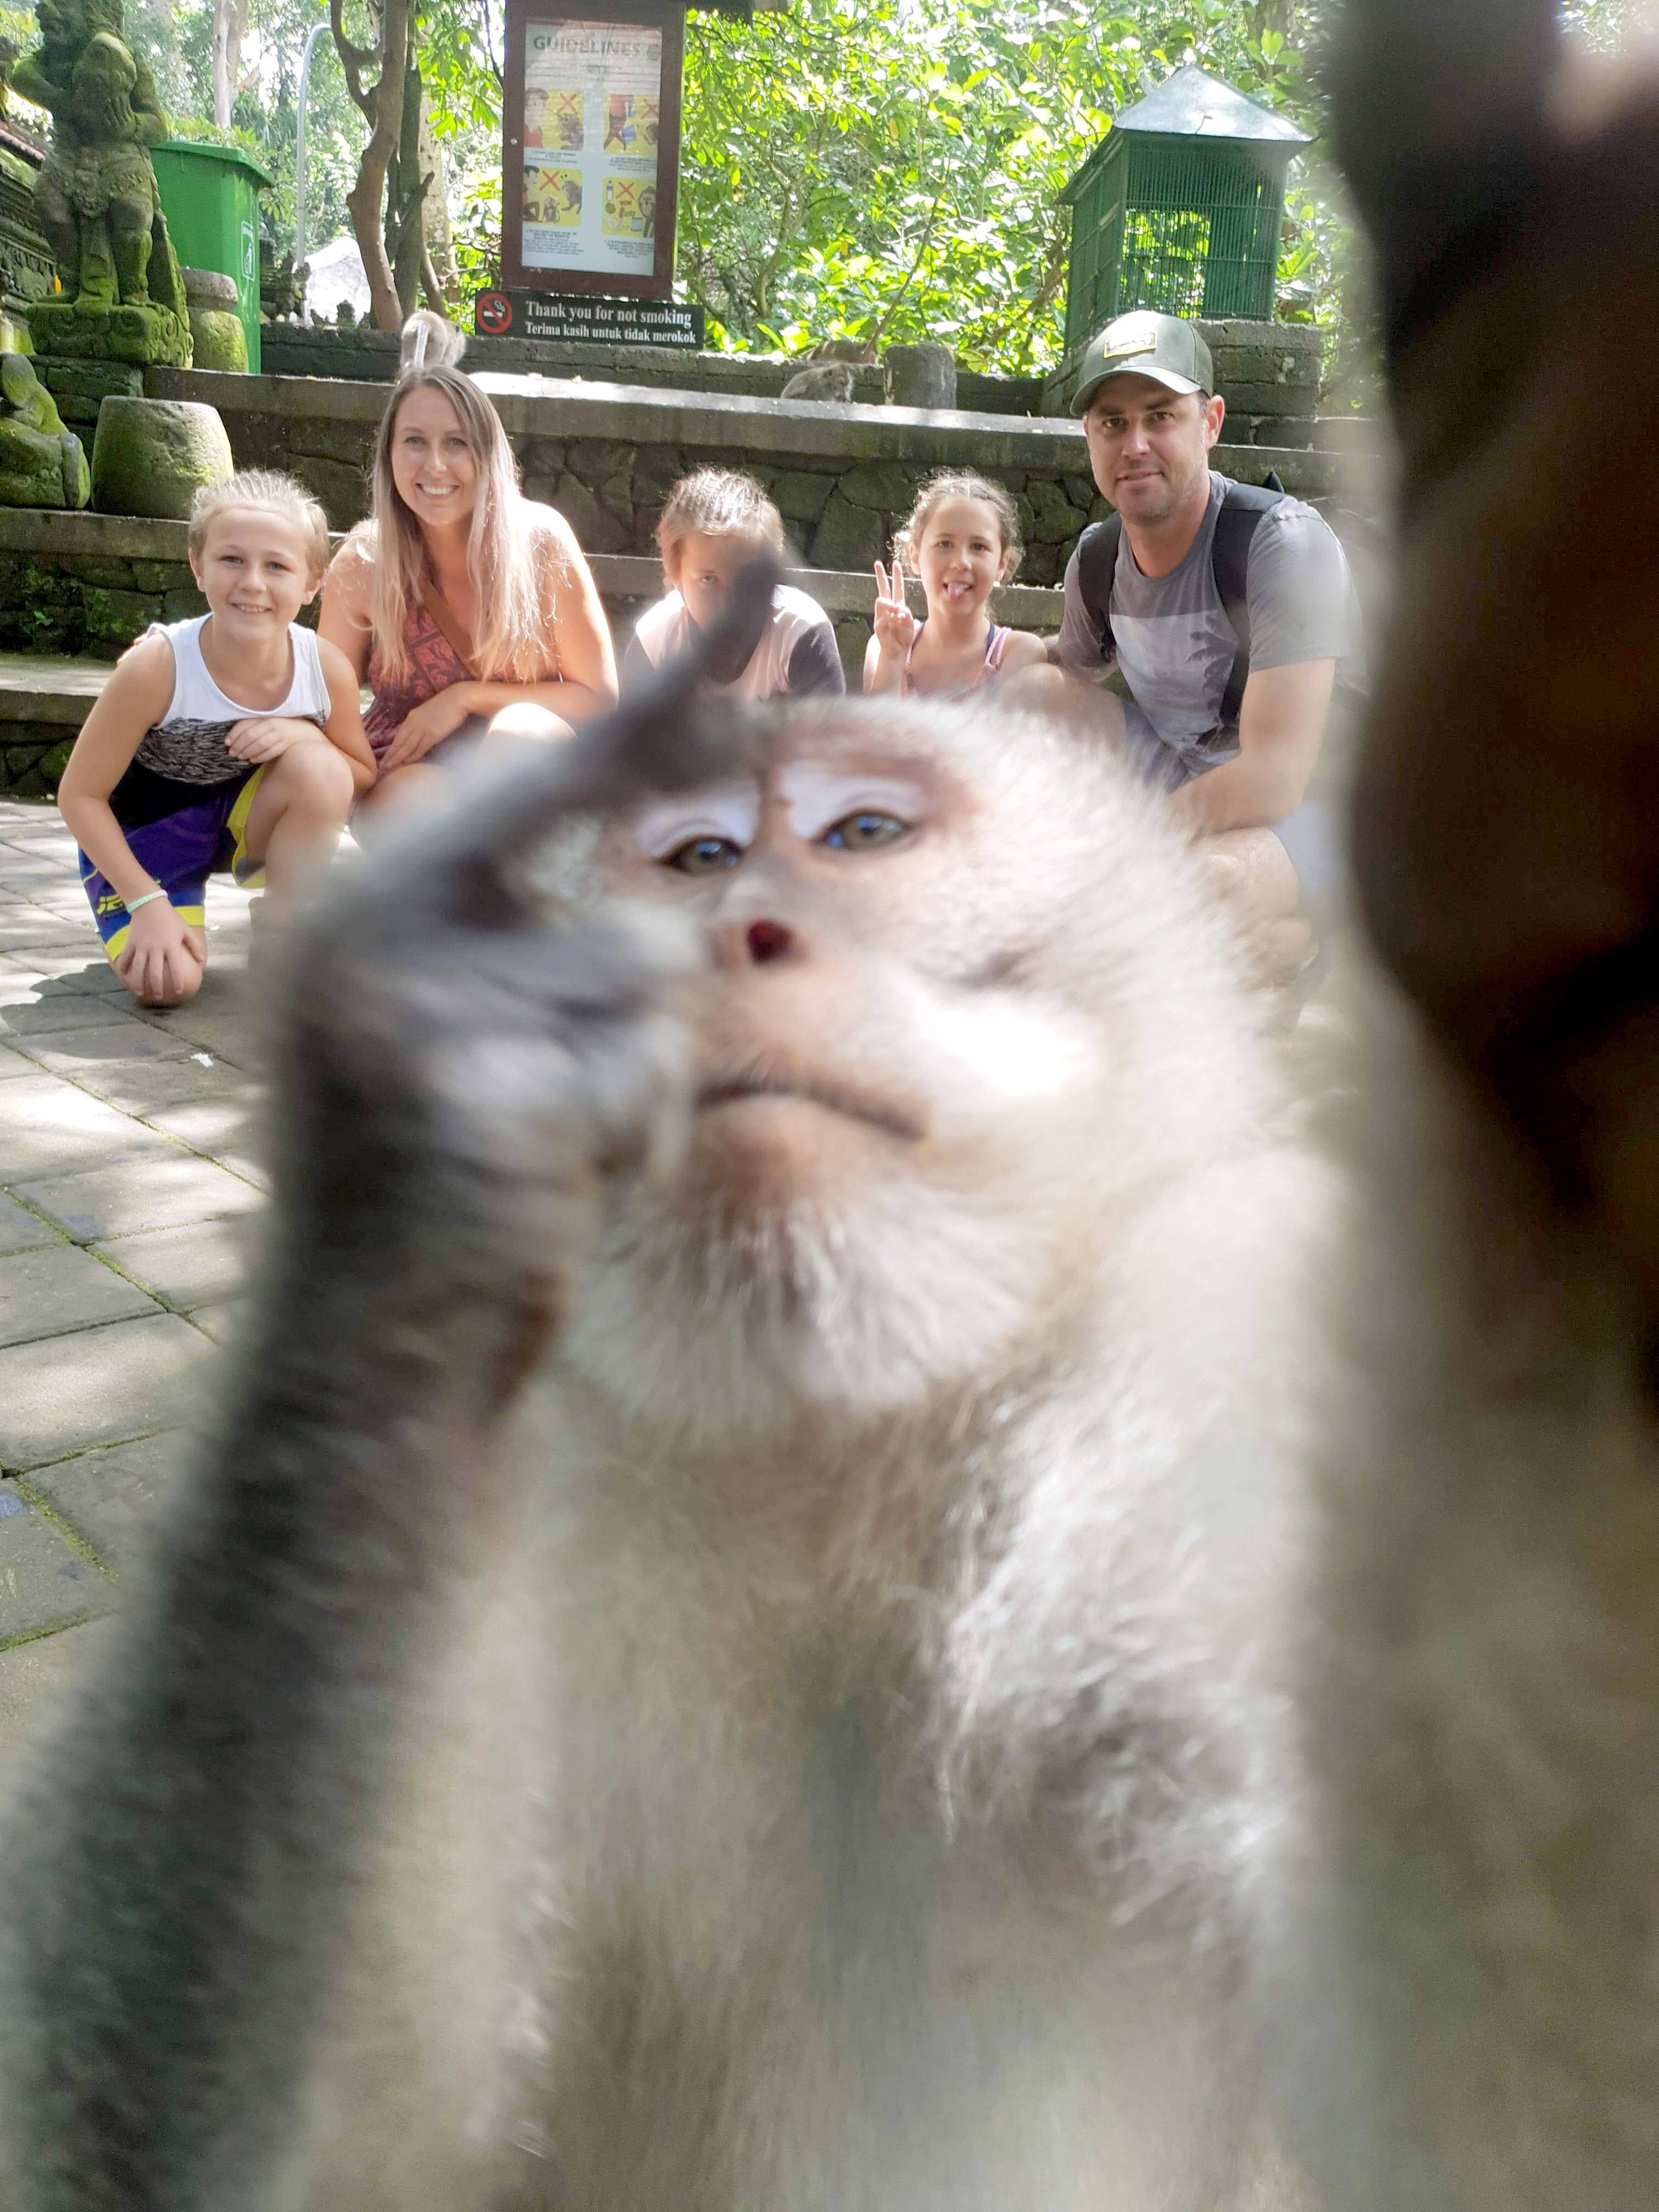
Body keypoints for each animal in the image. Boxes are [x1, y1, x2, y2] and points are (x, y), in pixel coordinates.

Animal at [0, 566, 1336, 2194]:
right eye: (699, 859)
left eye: (862, 836)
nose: (742, 934)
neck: (844, 1468)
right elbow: (303, 2163)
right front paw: (435, 1103)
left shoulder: (1238, 1335)